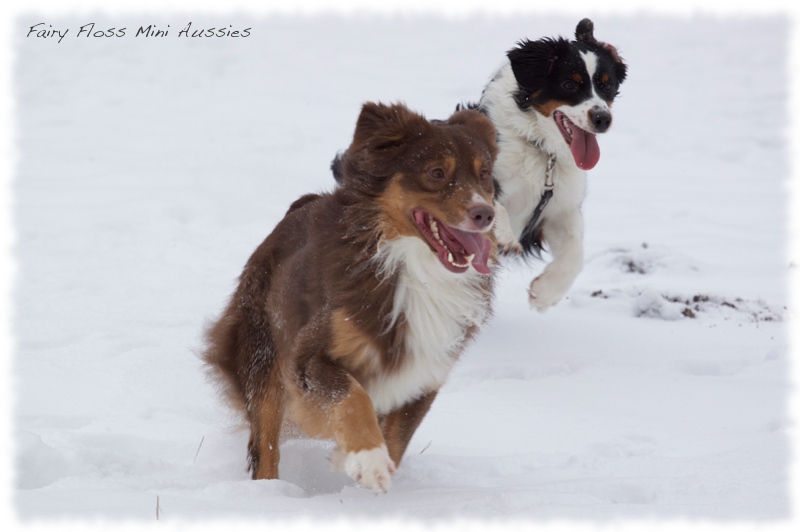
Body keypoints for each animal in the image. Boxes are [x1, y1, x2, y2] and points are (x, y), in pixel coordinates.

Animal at [203, 102, 496, 492]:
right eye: (436, 172)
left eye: (485, 175)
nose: (485, 214)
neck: (415, 271)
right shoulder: (307, 355)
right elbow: (353, 396)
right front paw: (367, 460)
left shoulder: (423, 376)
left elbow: (397, 440)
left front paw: (357, 463)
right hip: (262, 356)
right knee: (265, 446)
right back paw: (270, 494)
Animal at [468, 19, 624, 312]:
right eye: (569, 84)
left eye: (606, 86)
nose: (602, 119)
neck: (542, 150)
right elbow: (493, 205)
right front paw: (504, 236)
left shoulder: (558, 209)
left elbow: (575, 252)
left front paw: (546, 292)